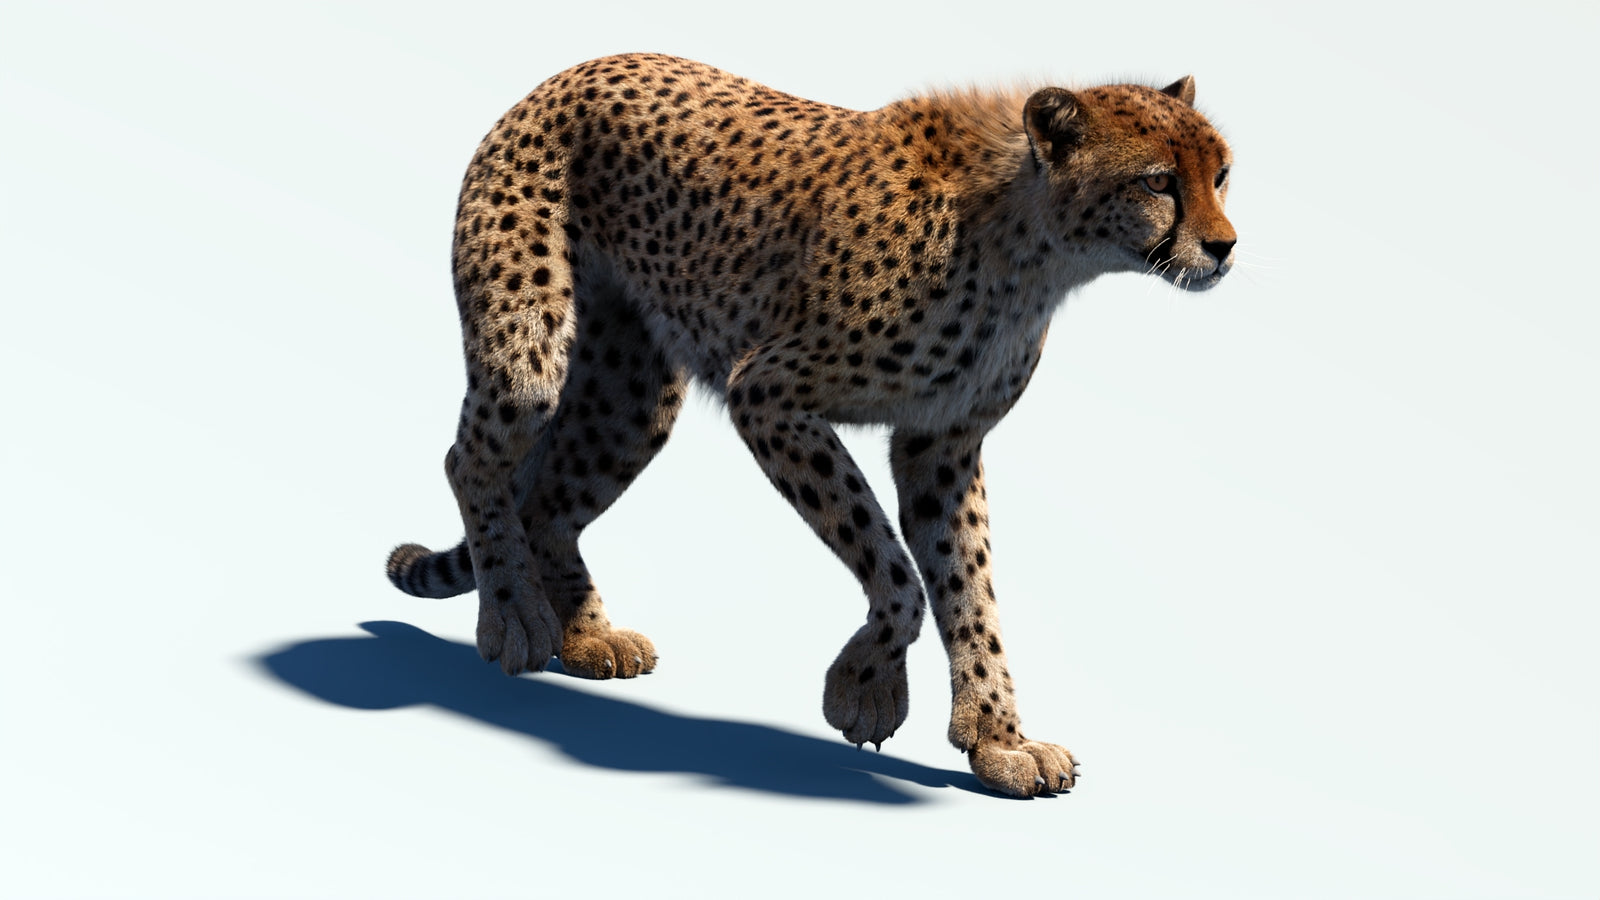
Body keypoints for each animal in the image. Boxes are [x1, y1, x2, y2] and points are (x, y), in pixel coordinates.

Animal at [385, 53, 1236, 797]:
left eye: (1221, 174)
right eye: (1158, 181)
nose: (1225, 246)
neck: (1032, 247)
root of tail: (574, 70)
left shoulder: (942, 444)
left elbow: (971, 590)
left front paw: (998, 738)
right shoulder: (769, 394)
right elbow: (895, 568)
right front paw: (865, 689)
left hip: (632, 398)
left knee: (550, 503)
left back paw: (588, 635)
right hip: (529, 360)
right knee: (471, 461)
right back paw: (513, 616)